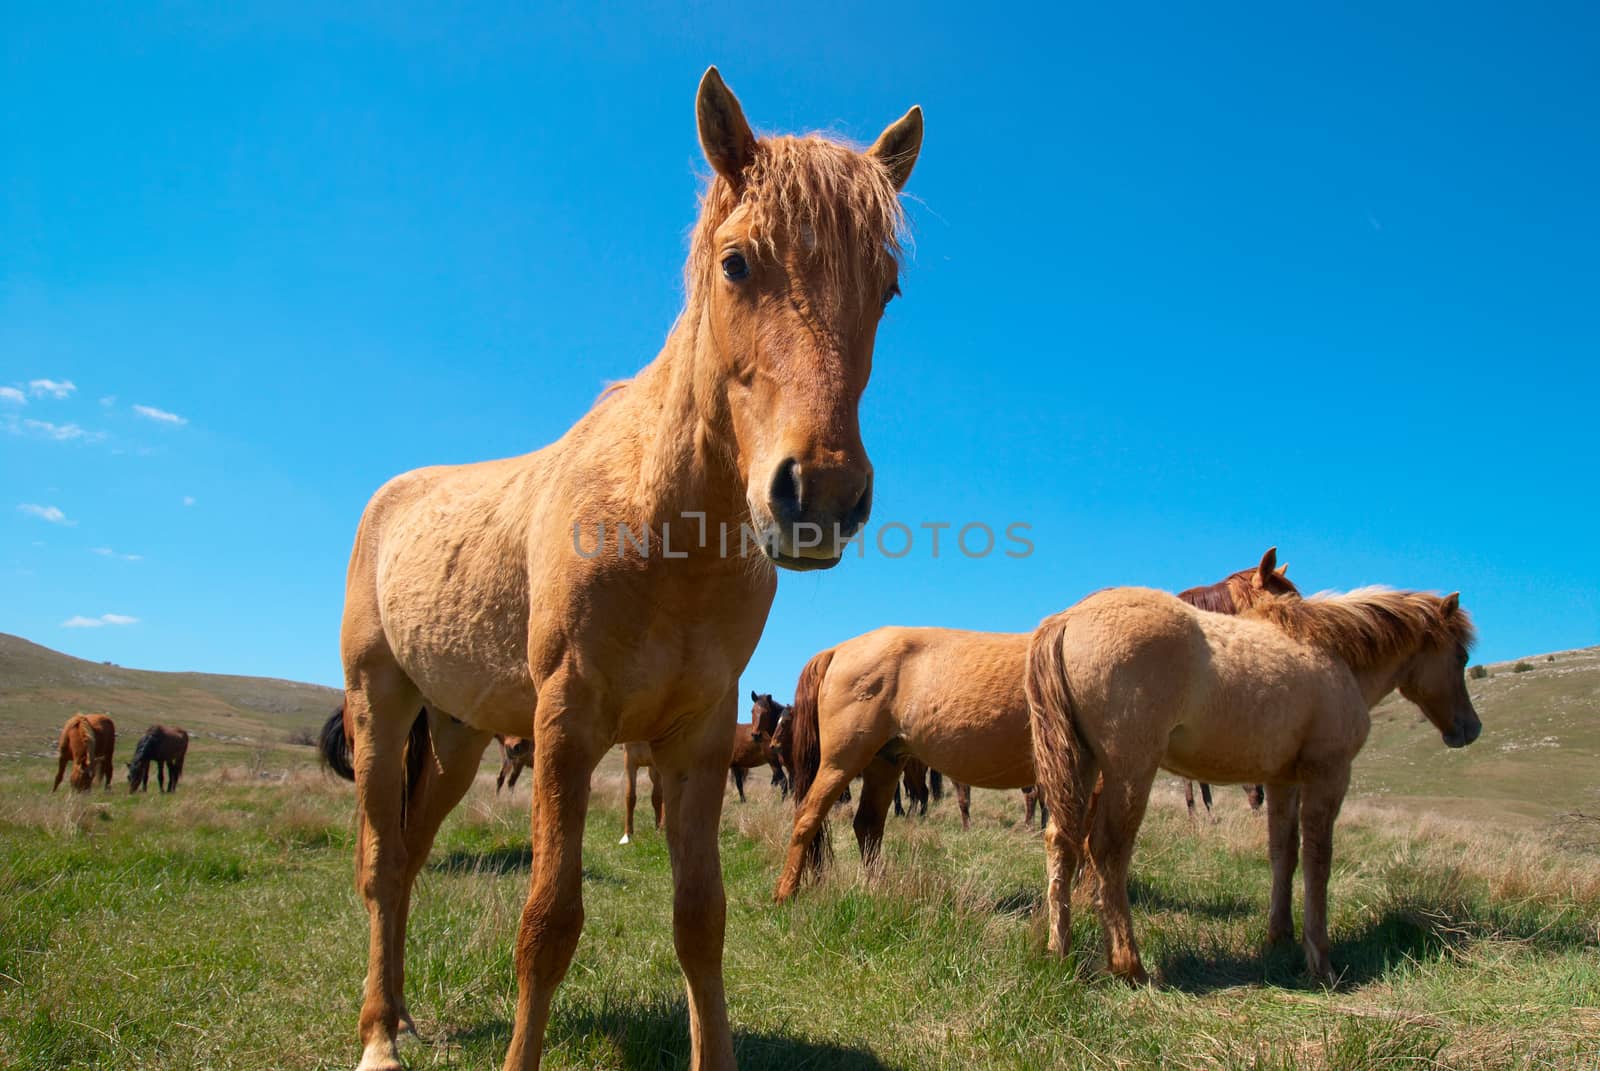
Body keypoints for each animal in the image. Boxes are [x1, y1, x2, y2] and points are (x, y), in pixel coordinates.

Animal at [326, 68, 928, 1069]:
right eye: (737, 263)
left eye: (887, 288)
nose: (822, 494)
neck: (662, 527)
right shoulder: (566, 726)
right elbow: (547, 923)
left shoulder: (697, 736)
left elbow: (701, 920)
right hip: (381, 703)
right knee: (379, 862)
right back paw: (378, 1035)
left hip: (456, 732)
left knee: (408, 857)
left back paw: (403, 1014)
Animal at [768, 547, 1292, 896]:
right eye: (1286, 605)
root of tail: (839, 649)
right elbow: (1089, 840)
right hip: (844, 759)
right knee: (808, 818)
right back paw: (786, 895)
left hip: (886, 760)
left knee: (867, 826)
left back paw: (879, 890)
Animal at [1030, 585, 1478, 986]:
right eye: (1461, 656)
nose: (1470, 729)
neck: (1335, 655)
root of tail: (1068, 618)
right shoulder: (1329, 775)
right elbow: (1318, 861)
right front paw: (1320, 960)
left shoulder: (1282, 782)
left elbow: (1284, 853)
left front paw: (1280, 937)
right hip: (1130, 771)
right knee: (1107, 850)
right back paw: (1129, 965)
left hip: (1082, 767)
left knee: (1061, 842)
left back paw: (1060, 951)